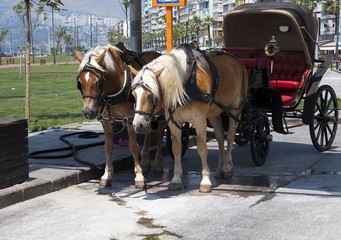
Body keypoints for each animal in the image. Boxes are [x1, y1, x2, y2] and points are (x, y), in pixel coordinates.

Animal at [74, 44, 163, 188]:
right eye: (80, 83)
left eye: (98, 81)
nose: (88, 112)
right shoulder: (106, 120)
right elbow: (108, 146)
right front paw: (107, 175)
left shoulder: (130, 119)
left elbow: (133, 146)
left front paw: (139, 176)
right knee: (148, 132)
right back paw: (145, 161)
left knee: (160, 133)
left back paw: (158, 164)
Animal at [129, 44, 246, 192]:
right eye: (133, 95)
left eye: (150, 95)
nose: (137, 124)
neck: (186, 84)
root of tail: (236, 60)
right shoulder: (174, 123)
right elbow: (176, 148)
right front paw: (176, 179)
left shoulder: (200, 120)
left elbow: (202, 148)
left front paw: (205, 180)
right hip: (214, 113)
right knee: (220, 137)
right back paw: (220, 169)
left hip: (235, 109)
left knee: (230, 136)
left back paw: (227, 167)